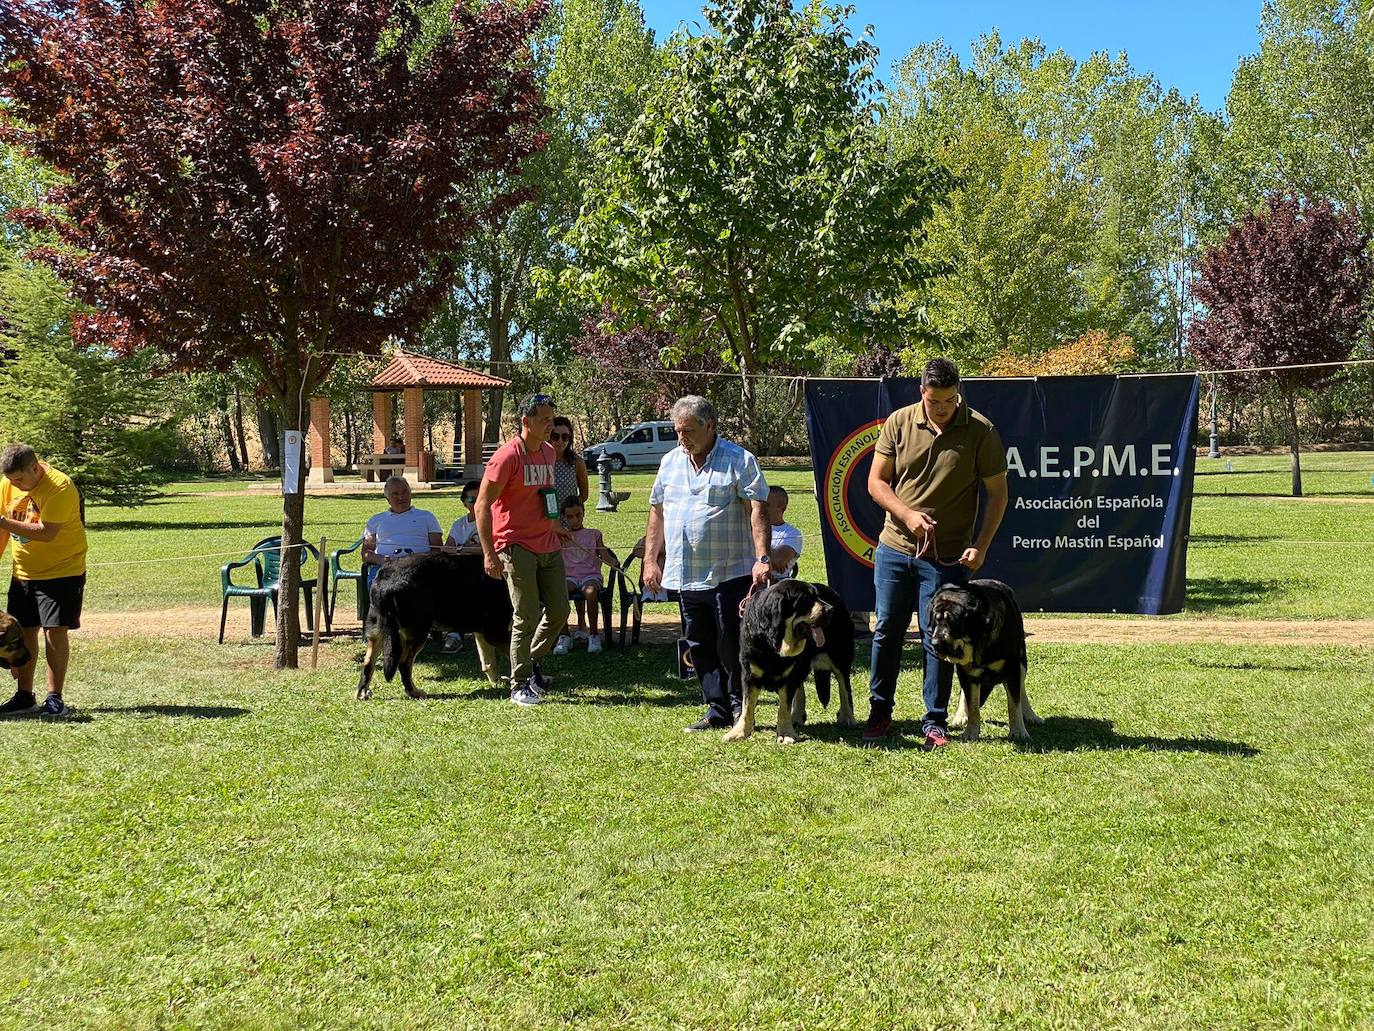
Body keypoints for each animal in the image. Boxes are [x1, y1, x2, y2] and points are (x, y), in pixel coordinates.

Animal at [357, 558, 513, 703]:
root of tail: (384, 578)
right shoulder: (496, 633)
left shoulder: (483, 633)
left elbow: (489, 662)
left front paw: (498, 681)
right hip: (417, 633)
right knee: (404, 664)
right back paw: (414, 692)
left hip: (379, 633)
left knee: (368, 662)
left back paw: (362, 693)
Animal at [725, 582, 851, 742]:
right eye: (806, 600)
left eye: (816, 596)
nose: (830, 609)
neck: (773, 643)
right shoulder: (749, 676)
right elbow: (746, 707)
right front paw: (739, 732)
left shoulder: (788, 677)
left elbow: (783, 707)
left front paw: (785, 734)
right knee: (800, 688)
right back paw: (796, 717)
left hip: (840, 658)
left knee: (844, 687)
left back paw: (847, 716)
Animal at [928, 582, 1044, 742]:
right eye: (936, 620)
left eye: (952, 621)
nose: (934, 643)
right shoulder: (968, 673)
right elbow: (973, 706)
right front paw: (970, 732)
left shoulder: (1013, 668)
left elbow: (1014, 704)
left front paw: (1018, 732)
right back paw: (960, 716)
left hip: (1022, 662)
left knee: (1021, 690)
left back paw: (1030, 715)